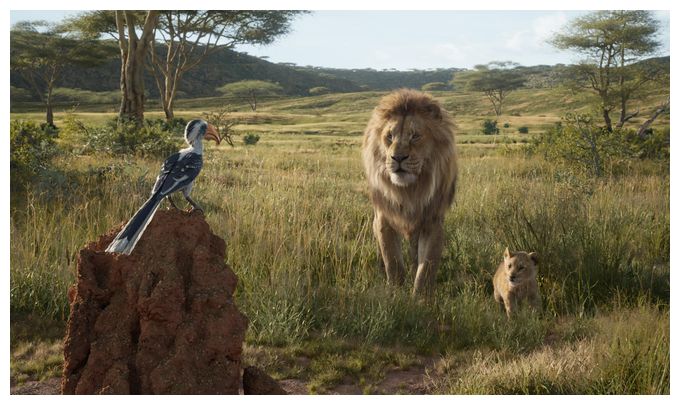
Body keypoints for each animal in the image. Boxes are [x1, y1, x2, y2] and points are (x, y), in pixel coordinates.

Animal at [361, 89, 457, 296]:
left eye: (415, 136)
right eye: (389, 136)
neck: (409, 191)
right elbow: (393, 262)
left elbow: (426, 268)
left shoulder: (433, 222)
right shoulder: (383, 219)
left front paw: (420, 299)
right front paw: (395, 295)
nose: (397, 157)